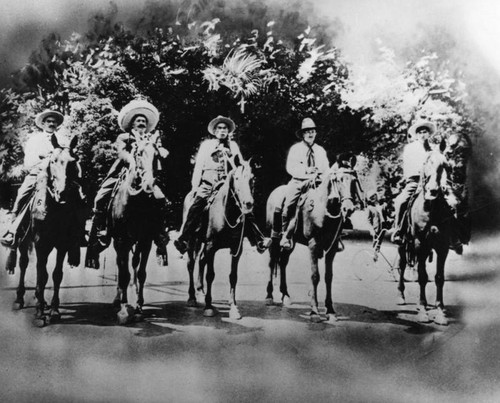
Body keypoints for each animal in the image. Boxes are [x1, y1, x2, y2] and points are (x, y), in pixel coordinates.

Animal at [11, 136, 83, 328]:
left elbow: (56, 275)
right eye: (53, 161)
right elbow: (41, 276)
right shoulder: (40, 243)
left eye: (74, 162)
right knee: (23, 263)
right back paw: (19, 299)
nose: (62, 193)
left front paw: (54, 311)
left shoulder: (62, 244)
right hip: (24, 241)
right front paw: (39, 313)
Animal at [108, 134, 167, 326]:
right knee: (120, 266)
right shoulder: (122, 241)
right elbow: (124, 274)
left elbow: (141, 273)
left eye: (157, 156)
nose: (148, 184)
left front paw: (139, 306)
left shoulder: (145, 240)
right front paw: (124, 309)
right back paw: (118, 299)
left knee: (133, 264)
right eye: (139, 153)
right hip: (118, 242)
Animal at [183, 159, 254, 320]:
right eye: (237, 178)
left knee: (201, 260)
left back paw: (200, 291)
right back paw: (192, 298)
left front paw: (233, 308)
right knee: (191, 264)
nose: (248, 203)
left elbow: (233, 276)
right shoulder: (211, 246)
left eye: (252, 178)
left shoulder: (236, 248)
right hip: (192, 241)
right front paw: (209, 307)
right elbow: (210, 275)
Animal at [266, 163, 364, 324]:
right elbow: (315, 276)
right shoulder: (313, 244)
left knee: (283, 262)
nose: (348, 208)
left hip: (291, 242)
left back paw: (285, 295)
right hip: (273, 237)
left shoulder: (332, 247)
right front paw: (314, 312)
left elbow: (328, 277)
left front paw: (330, 311)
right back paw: (268, 296)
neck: (322, 206)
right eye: (338, 180)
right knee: (272, 261)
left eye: (354, 181)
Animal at [396, 150, 456, 326]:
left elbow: (439, 278)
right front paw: (423, 311)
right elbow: (422, 277)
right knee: (402, 266)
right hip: (402, 245)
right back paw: (401, 296)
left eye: (445, 165)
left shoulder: (442, 247)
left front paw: (440, 312)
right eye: (426, 163)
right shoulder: (419, 244)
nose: (433, 191)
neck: (432, 209)